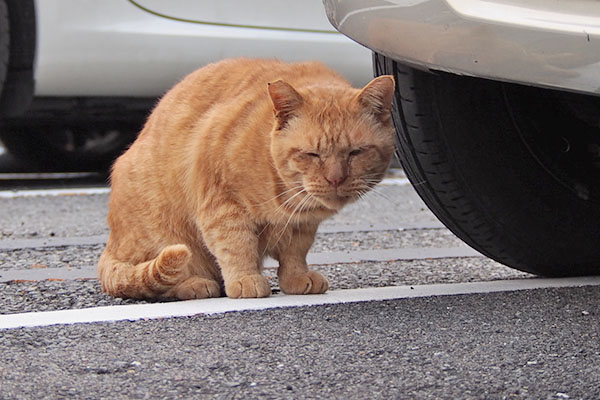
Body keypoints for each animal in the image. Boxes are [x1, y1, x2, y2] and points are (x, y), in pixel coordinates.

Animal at [98, 57, 396, 298]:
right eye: (311, 154)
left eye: (356, 152)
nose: (335, 179)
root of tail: (110, 245)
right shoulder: (222, 204)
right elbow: (235, 246)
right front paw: (245, 280)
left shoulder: (302, 224)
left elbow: (295, 252)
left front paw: (296, 278)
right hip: (165, 234)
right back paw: (194, 284)